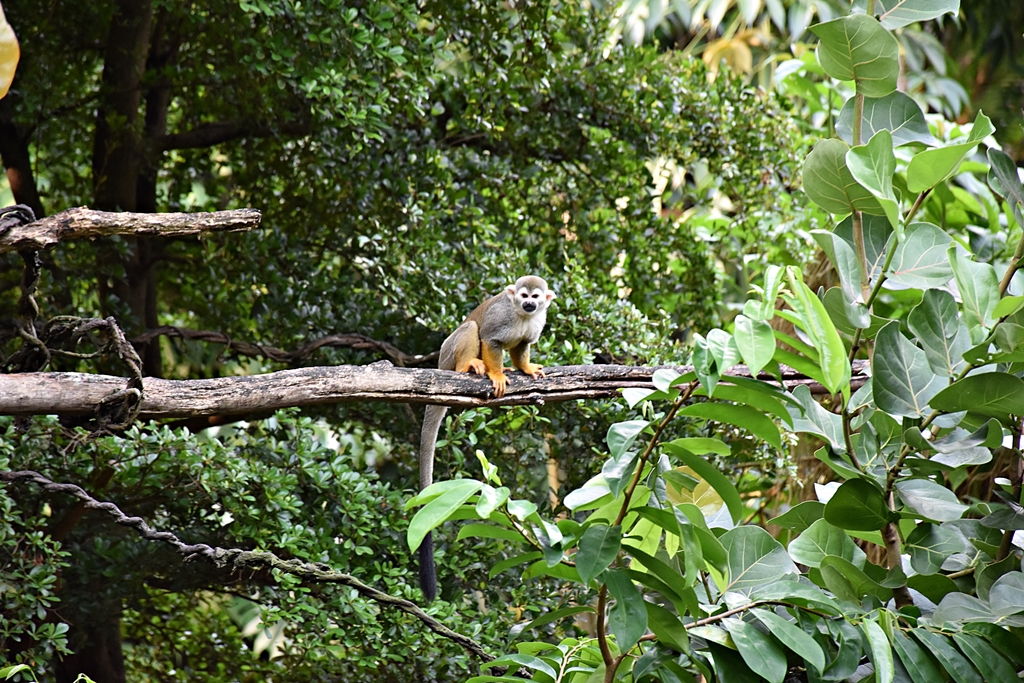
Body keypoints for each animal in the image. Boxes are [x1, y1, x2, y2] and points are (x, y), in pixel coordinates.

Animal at [416, 275, 555, 601]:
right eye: (523, 296)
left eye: (535, 298)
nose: (528, 304)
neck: (522, 317)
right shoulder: (500, 319)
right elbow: (491, 341)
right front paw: (496, 374)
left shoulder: (536, 324)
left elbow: (522, 346)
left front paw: (525, 367)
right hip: (447, 354)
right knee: (470, 328)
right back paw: (469, 366)